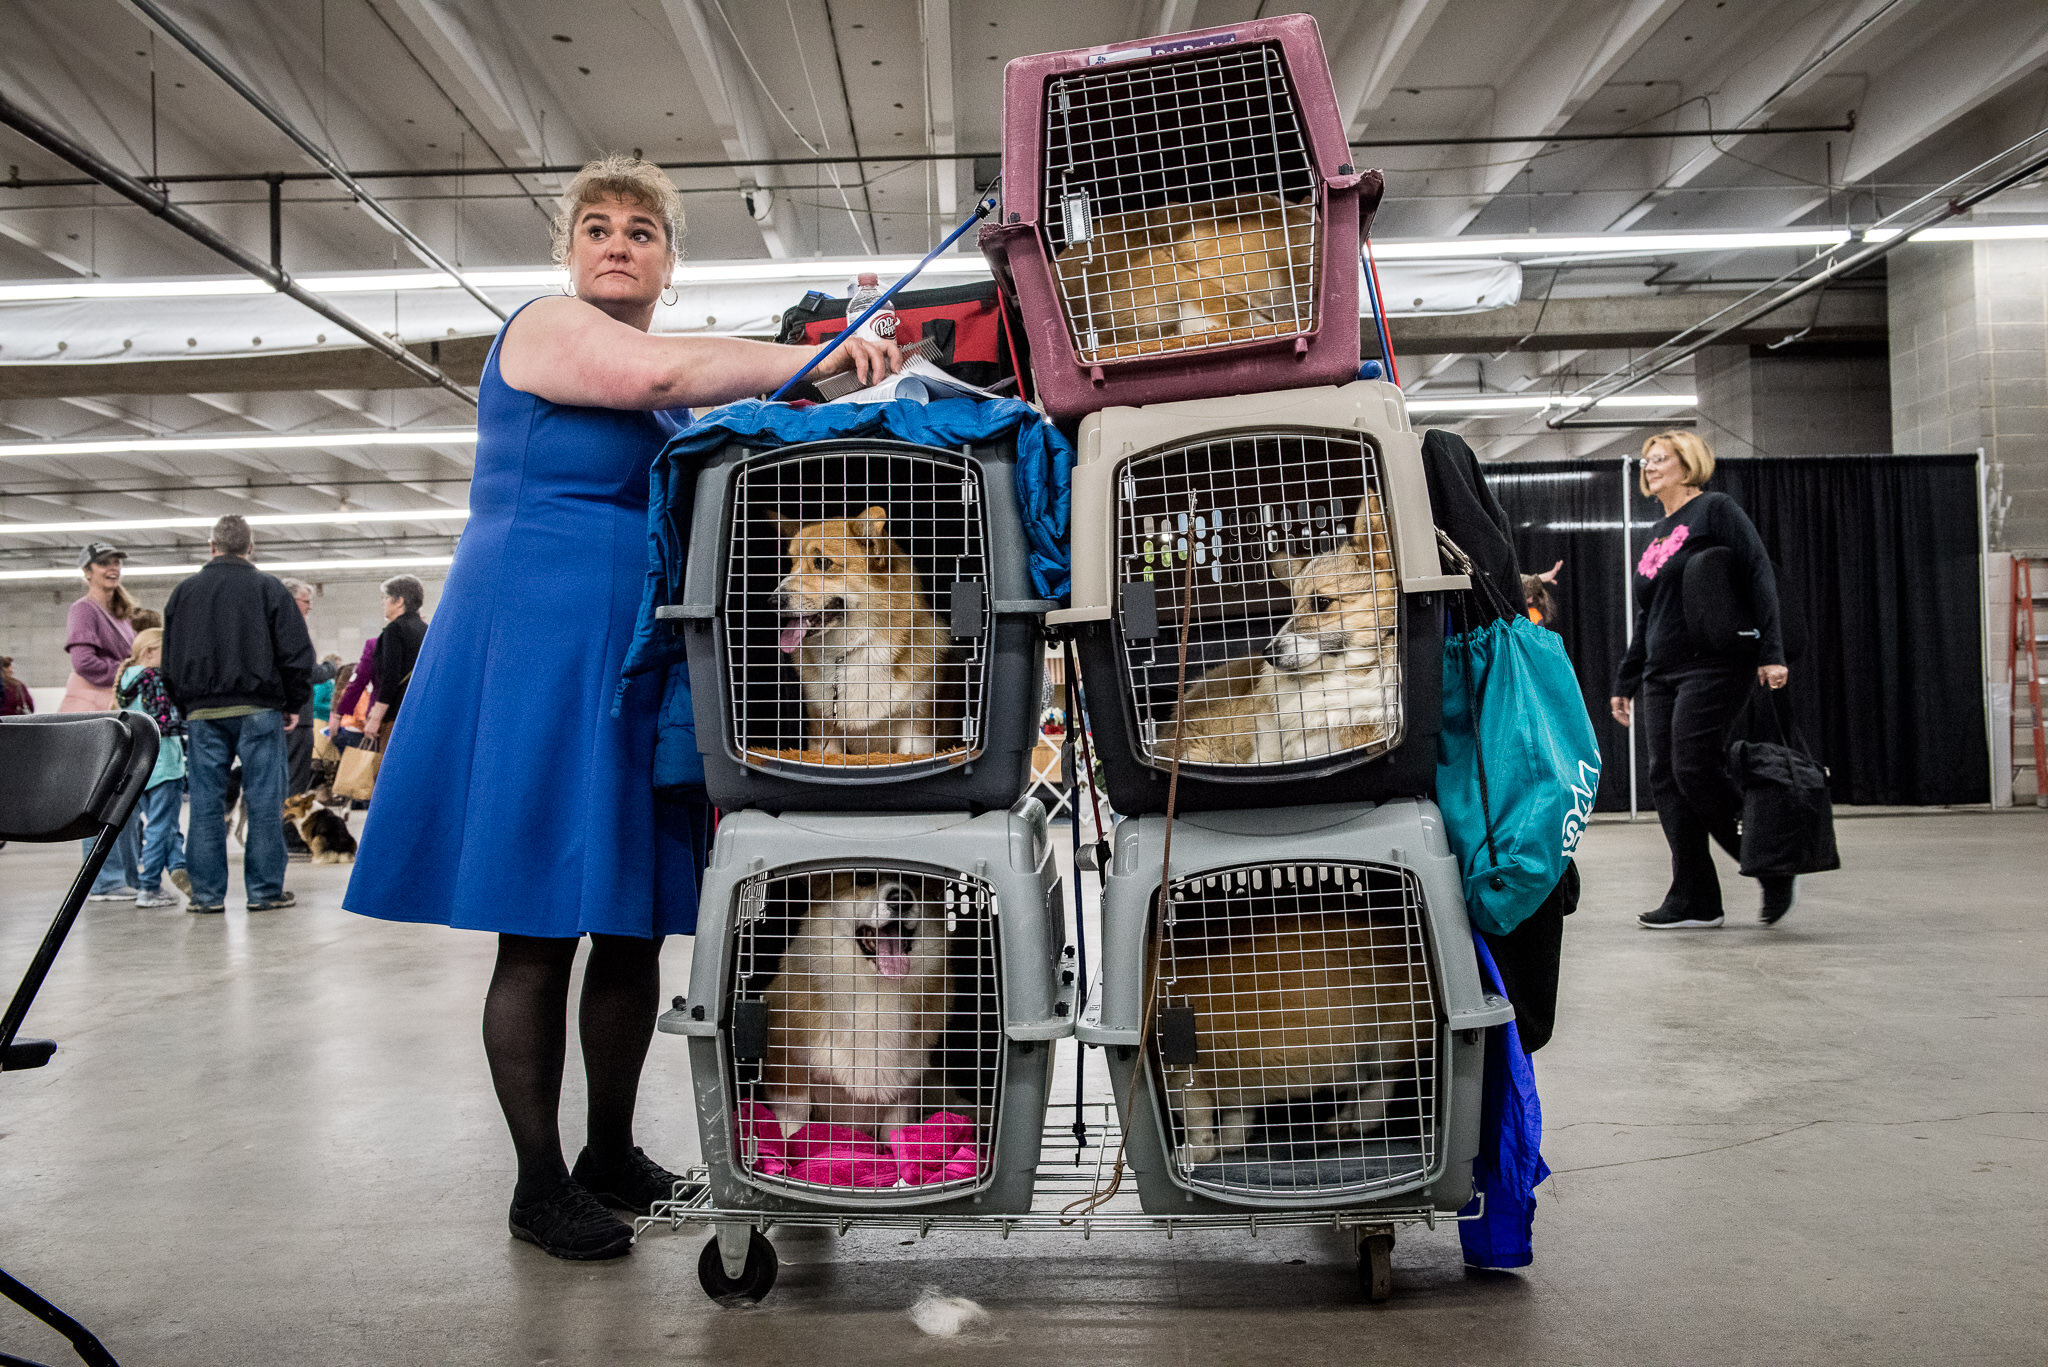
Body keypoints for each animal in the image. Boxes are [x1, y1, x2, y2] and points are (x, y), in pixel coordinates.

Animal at [765, 877, 954, 1147]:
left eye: (915, 883)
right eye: (863, 879)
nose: (901, 898)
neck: (875, 991)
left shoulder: (904, 1093)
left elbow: (894, 1134)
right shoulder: (789, 1075)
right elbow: (793, 1124)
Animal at [770, 506, 962, 758]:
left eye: (822, 562)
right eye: (791, 564)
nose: (772, 601)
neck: (851, 650)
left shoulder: (916, 730)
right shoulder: (823, 733)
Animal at [1163, 914, 1433, 1172]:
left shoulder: (1183, 1080)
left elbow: (1197, 1123)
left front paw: (1191, 1154)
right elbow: (1236, 1125)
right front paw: (1226, 1146)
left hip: (1388, 1043)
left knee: (1380, 1085)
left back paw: (1360, 1121)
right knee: (1359, 1087)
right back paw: (1342, 1122)